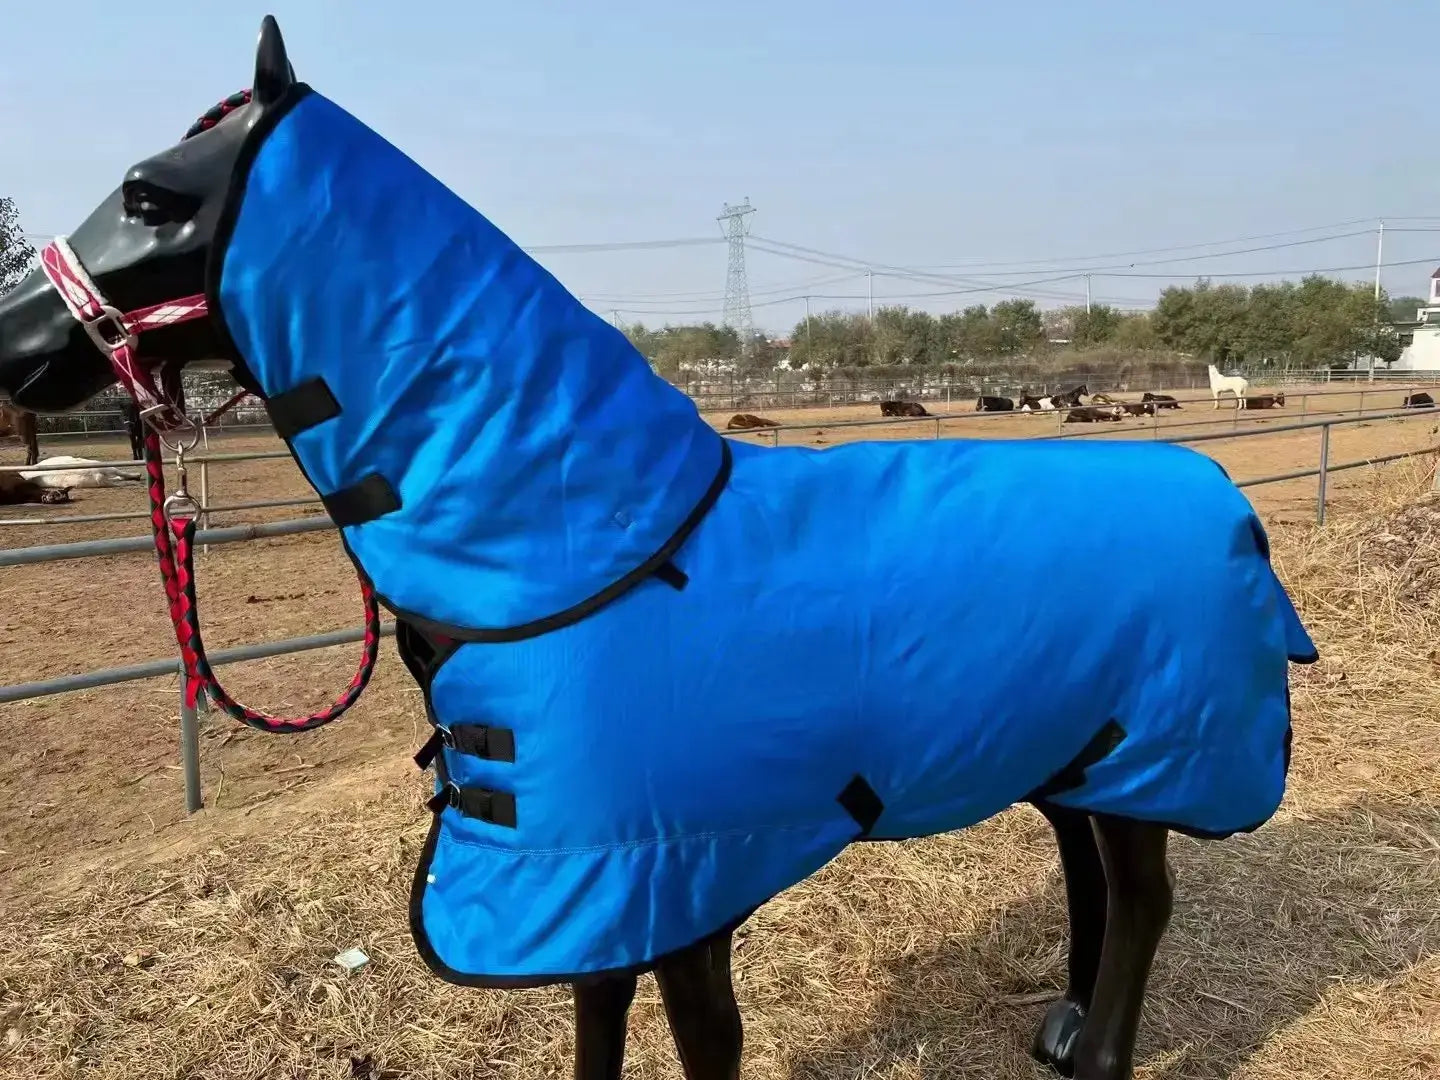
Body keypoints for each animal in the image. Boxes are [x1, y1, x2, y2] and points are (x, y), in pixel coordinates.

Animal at [0, 18, 1318, 1080]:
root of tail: (1220, 492)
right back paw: (1060, 1023)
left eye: (150, 193)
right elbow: (596, 1026)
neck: (589, 553)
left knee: (1142, 894)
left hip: (1161, 754)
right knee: (1085, 870)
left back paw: (1098, 1053)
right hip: (1070, 751)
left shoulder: (682, 886)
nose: (11, 342)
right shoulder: (594, 882)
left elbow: (704, 1047)